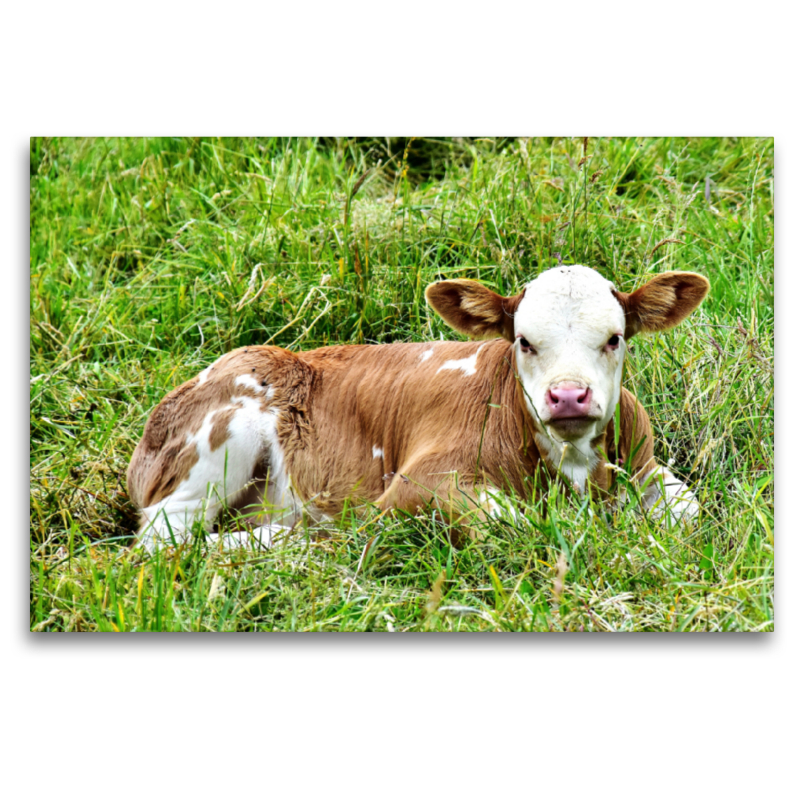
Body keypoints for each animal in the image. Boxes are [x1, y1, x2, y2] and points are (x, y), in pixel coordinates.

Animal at [128, 266, 708, 552]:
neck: (574, 471)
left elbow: (688, 511)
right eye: (524, 342)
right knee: (167, 539)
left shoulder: (645, 463)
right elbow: (509, 520)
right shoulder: (418, 483)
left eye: (614, 339)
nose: (568, 396)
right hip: (219, 441)